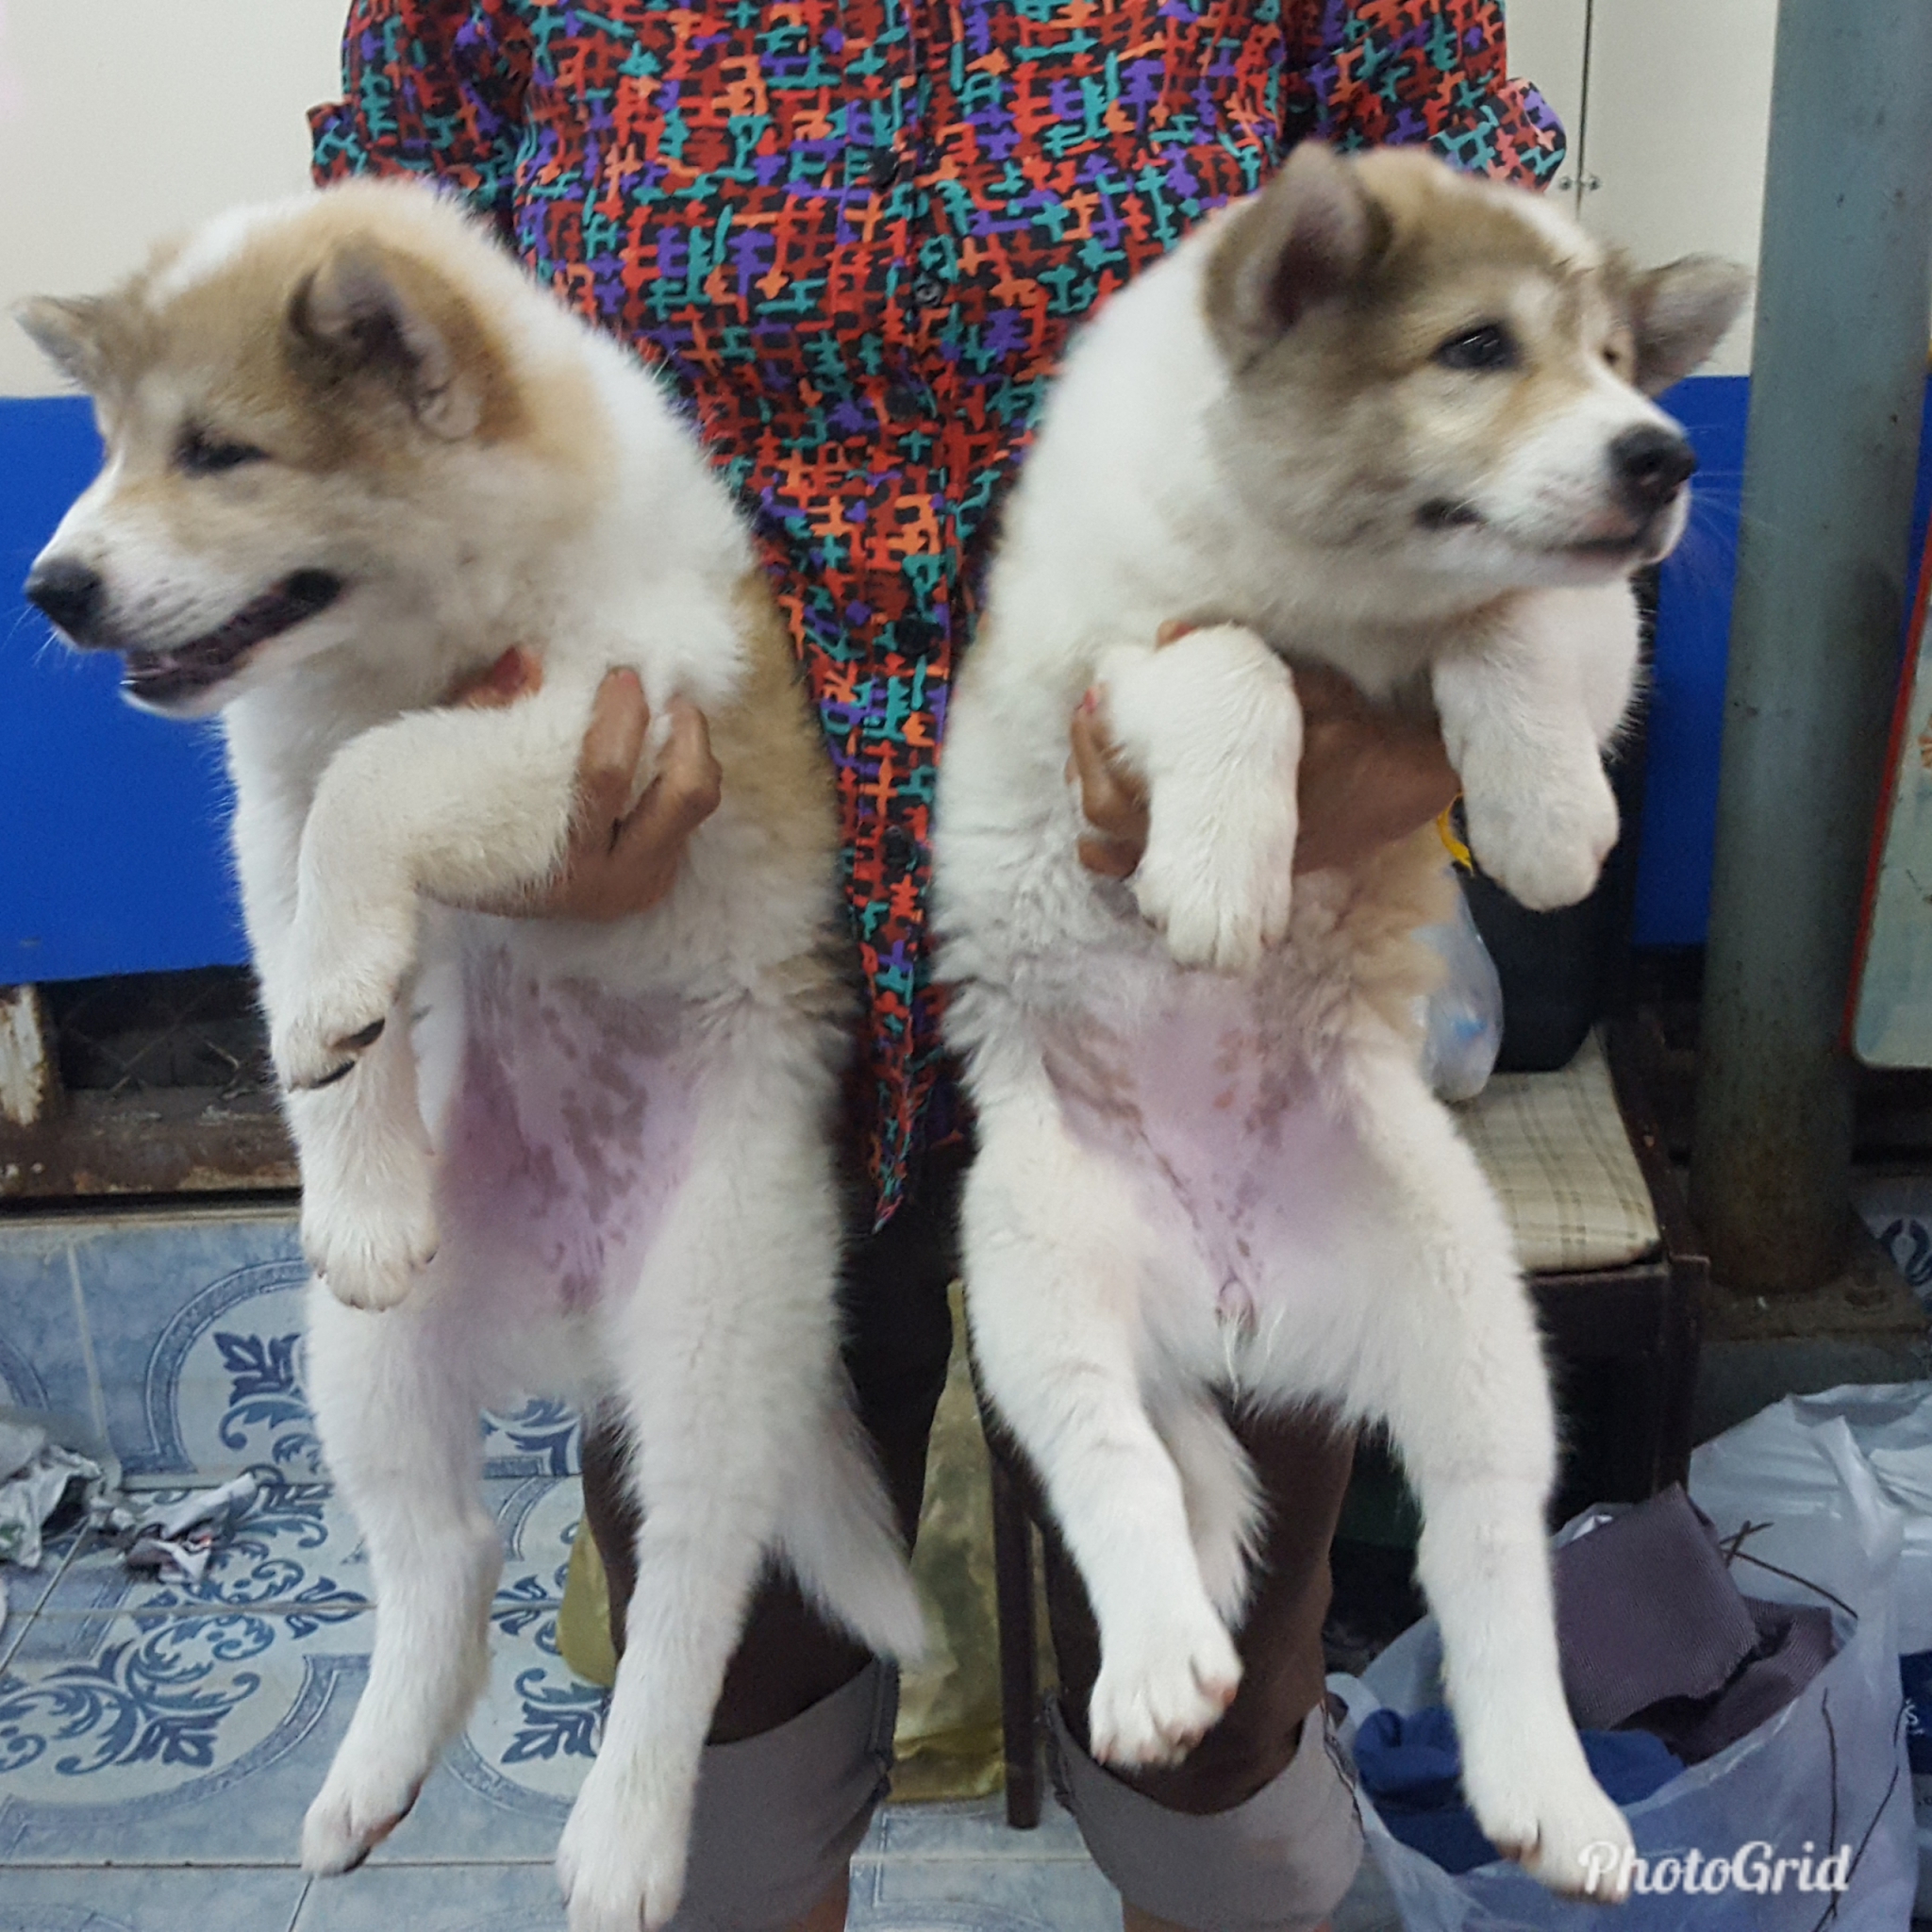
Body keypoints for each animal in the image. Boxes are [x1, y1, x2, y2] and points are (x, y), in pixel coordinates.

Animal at [21, 177, 921, 1932]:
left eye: (220, 451)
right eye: (109, 444)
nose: (53, 588)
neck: (427, 627)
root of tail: (572, 1309)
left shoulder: (604, 720)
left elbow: (390, 774)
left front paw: (336, 988)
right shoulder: (271, 798)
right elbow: (315, 943)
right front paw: (343, 1111)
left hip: (719, 1326)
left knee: (696, 1586)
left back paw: (627, 1833)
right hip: (361, 1358)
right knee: (445, 1552)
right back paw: (368, 1774)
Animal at [933, 142, 1746, 1898]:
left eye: (1611, 360)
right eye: (1474, 349)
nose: (1661, 458)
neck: (1346, 585)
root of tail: (1233, 1304)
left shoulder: (1597, 625)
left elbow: (1520, 621)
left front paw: (1542, 817)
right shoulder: (1095, 659)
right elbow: (1225, 659)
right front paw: (1219, 868)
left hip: (1467, 1304)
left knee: (1488, 1546)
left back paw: (1545, 1790)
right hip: (1030, 1268)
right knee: (1114, 1463)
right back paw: (1159, 1659)